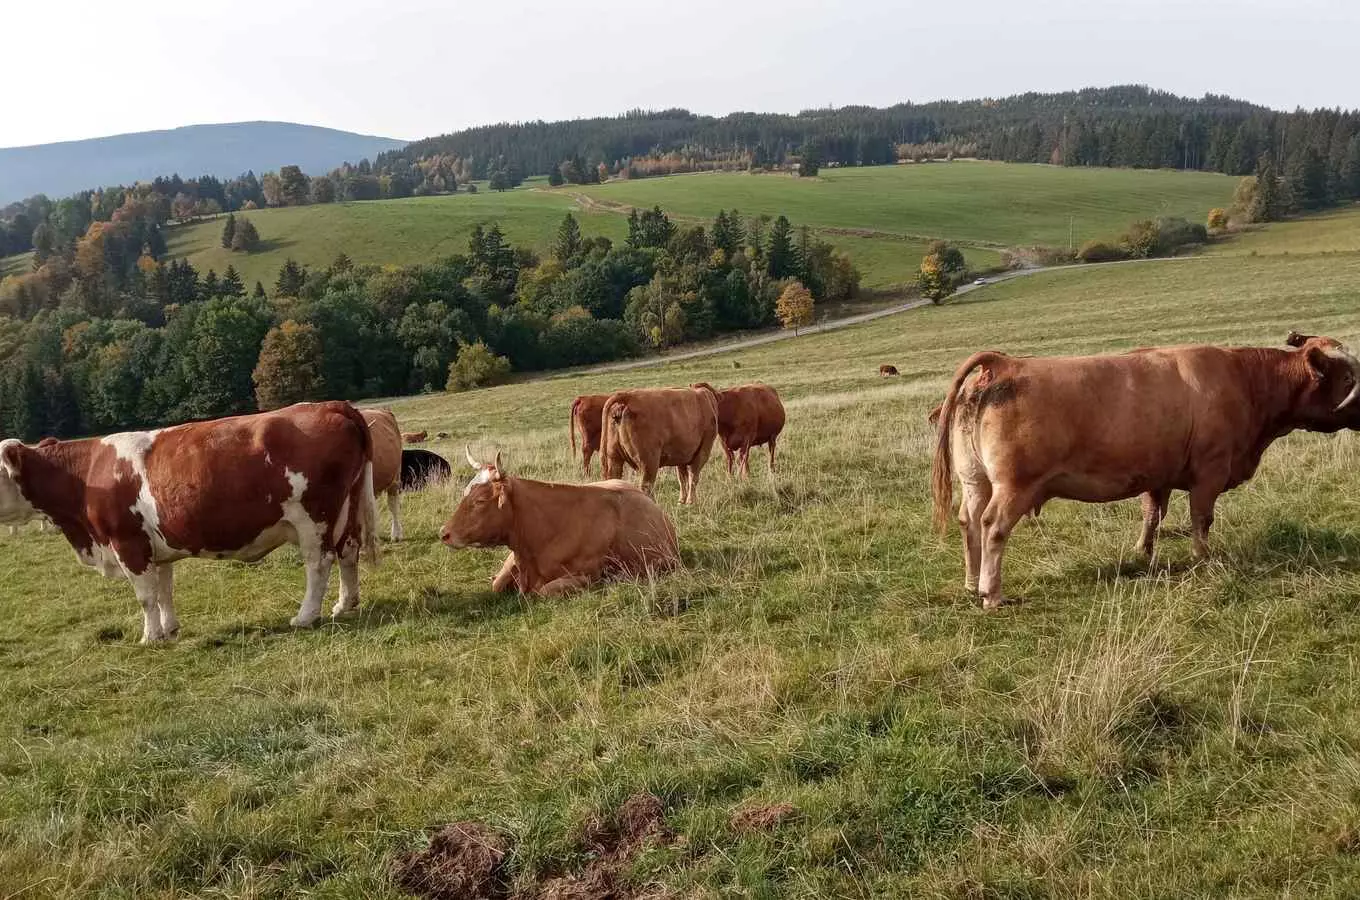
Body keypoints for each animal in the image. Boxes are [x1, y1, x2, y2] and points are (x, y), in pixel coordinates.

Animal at [0, 402, 378, 641]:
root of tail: (330, 405)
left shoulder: (128, 544)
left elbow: (146, 597)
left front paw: (150, 637)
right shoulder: (155, 549)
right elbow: (164, 592)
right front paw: (170, 629)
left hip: (314, 518)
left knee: (319, 563)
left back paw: (306, 616)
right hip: (347, 509)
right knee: (348, 551)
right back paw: (345, 604)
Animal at [440, 451, 680, 598]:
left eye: (480, 501)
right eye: (465, 492)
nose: (444, 533)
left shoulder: (586, 576)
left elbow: (544, 591)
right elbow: (497, 585)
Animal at [930, 337, 1360, 614]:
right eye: (1349, 379)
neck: (1244, 379)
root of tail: (1005, 364)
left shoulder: (1159, 475)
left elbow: (1152, 515)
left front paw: (1144, 553)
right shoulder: (1210, 471)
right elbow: (1201, 519)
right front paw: (1203, 559)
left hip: (975, 481)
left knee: (969, 522)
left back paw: (970, 582)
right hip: (1013, 486)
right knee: (992, 526)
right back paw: (991, 593)